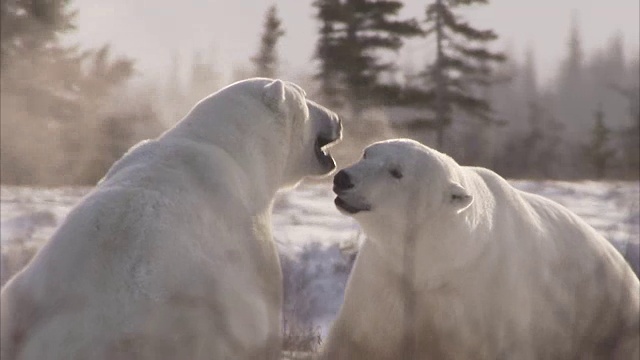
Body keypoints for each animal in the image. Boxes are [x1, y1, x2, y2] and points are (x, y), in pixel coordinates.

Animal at [324, 139, 640, 360]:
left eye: (396, 172)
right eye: (367, 153)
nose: (343, 178)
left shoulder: (485, 301)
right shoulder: (383, 280)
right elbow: (355, 344)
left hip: (614, 321)